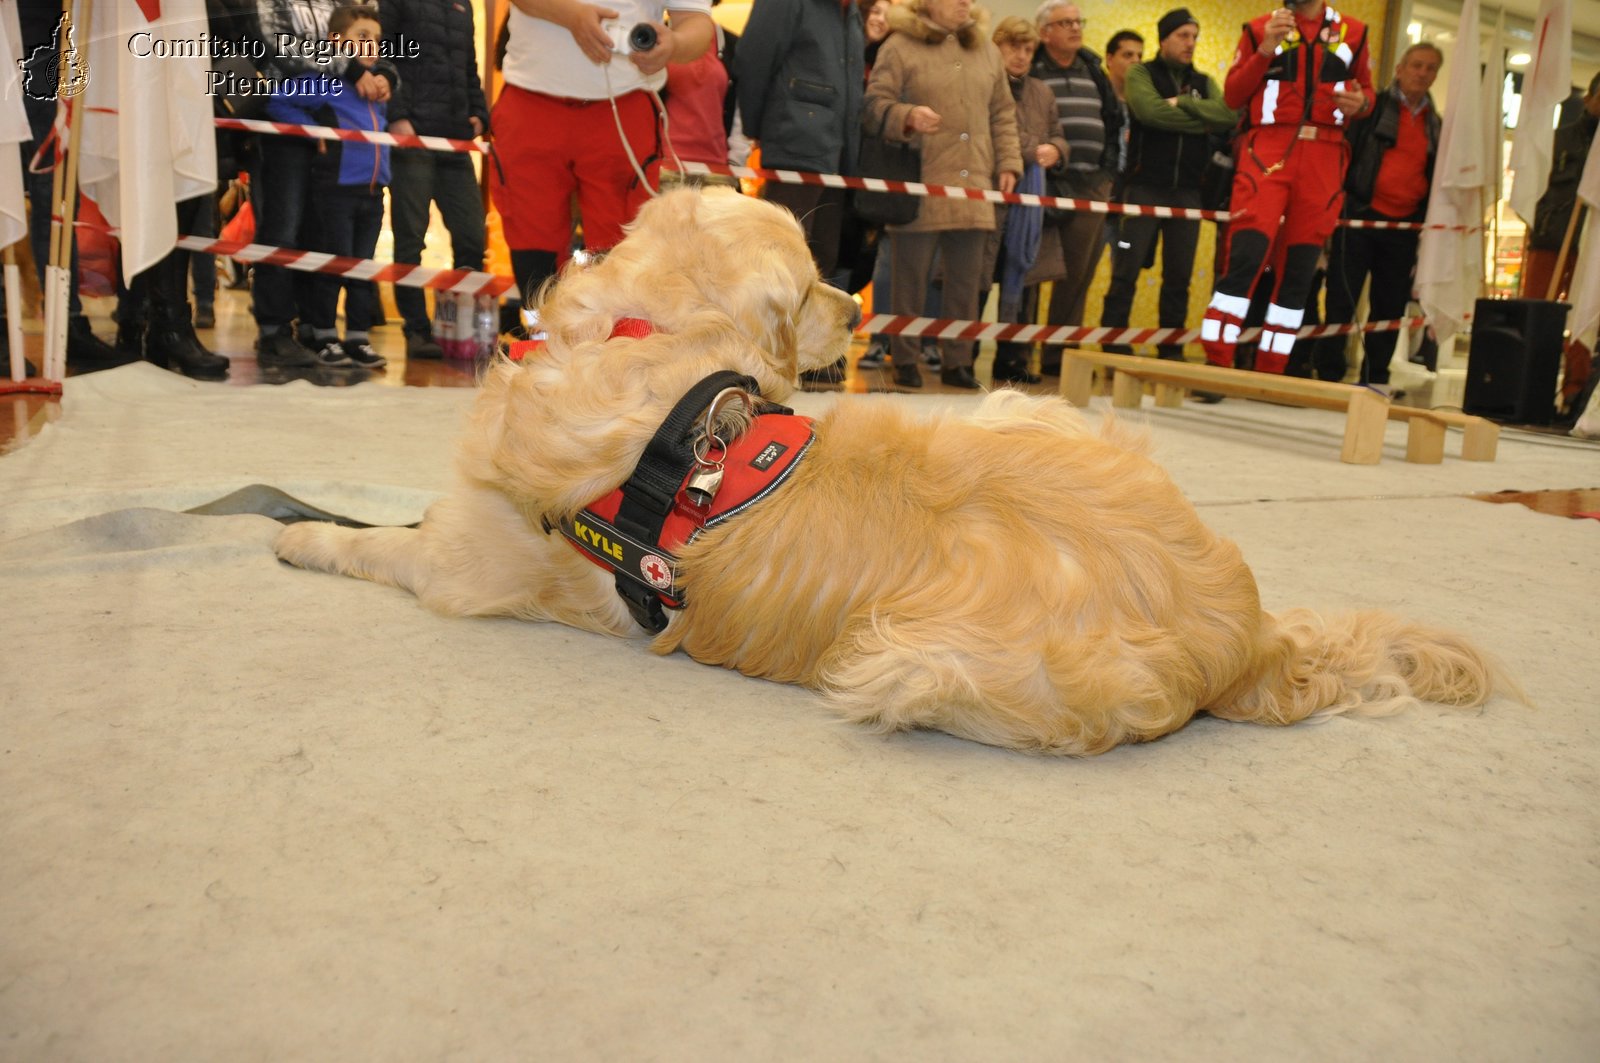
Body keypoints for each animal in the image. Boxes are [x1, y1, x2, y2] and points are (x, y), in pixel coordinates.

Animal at [268, 186, 1504, 752]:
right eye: (815, 277)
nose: (860, 308)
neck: (652, 340)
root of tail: (1247, 631)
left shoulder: (460, 567)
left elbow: (368, 544)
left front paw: (294, 532)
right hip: (1028, 413)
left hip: (912, 666)